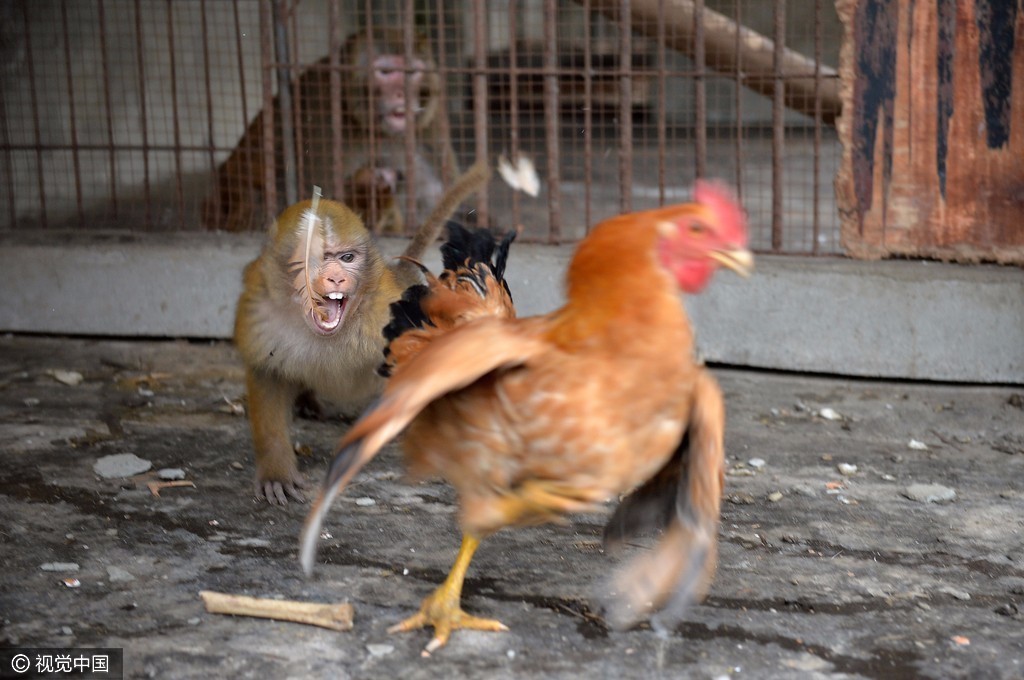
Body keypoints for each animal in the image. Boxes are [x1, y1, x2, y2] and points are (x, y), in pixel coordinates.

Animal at [202, 27, 456, 236]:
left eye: (412, 72)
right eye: (386, 71)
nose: (402, 93)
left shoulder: (432, 127)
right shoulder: (319, 115)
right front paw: (369, 187)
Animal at [234, 156, 489, 501]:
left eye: (347, 258)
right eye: (313, 260)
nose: (336, 278)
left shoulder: (387, 312)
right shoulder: (258, 311)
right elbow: (267, 372)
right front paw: (276, 472)